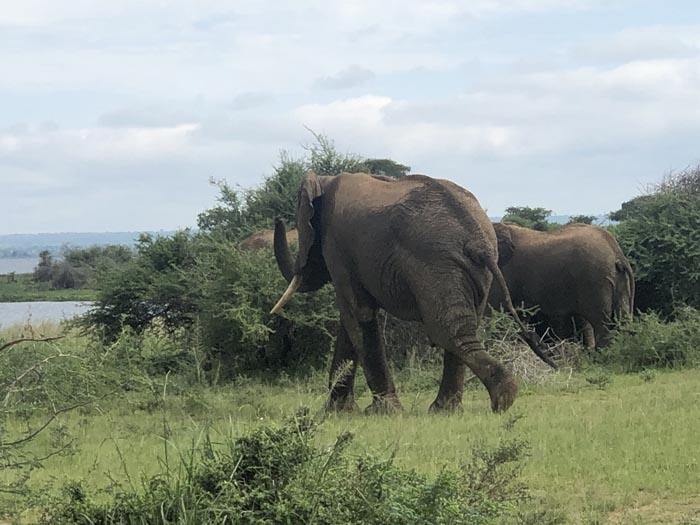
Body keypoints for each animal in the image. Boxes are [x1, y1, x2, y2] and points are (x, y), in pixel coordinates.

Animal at [270, 172, 556, 414]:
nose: (277, 219)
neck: (325, 180)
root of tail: (477, 239)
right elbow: (351, 320)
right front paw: (338, 412)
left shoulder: (337, 245)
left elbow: (358, 315)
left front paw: (381, 413)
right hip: (468, 269)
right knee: (462, 328)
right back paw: (453, 409)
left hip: (435, 265)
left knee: (446, 330)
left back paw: (497, 399)